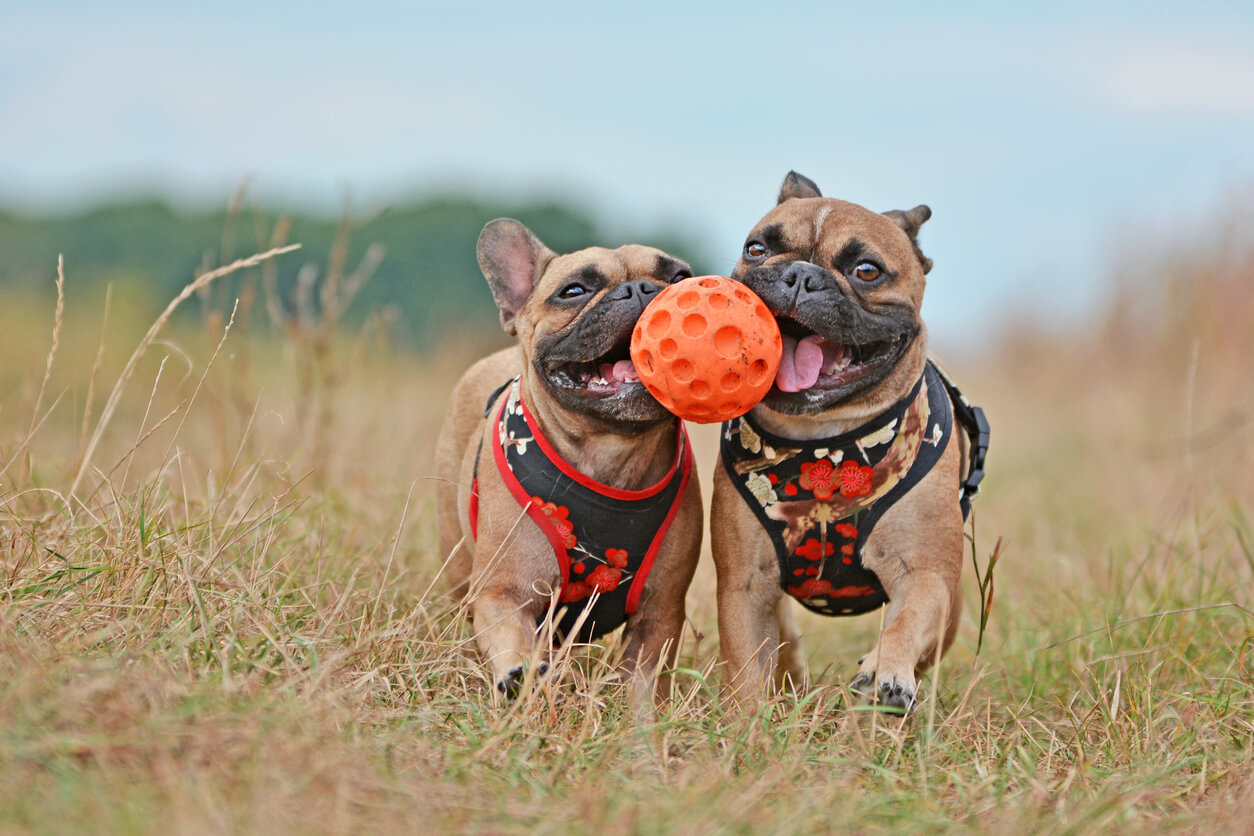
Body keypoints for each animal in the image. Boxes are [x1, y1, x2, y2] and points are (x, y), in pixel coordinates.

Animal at [433, 219, 707, 711]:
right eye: (574, 291)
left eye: (680, 278)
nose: (641, 289)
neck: (611, 452)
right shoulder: (502, 593)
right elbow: (510, 638)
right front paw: (520, 676)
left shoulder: (659, 615)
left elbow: (642, 681)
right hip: (458, 564)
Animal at [712, 171, 983, 711]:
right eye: (757, 249)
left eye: (867, 271)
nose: (799, 275)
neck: (825, 440)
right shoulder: (744, 586)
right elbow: (747, 665)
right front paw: (749, 720)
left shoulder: (926, 575)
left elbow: (909, 618)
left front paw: (887, 671)